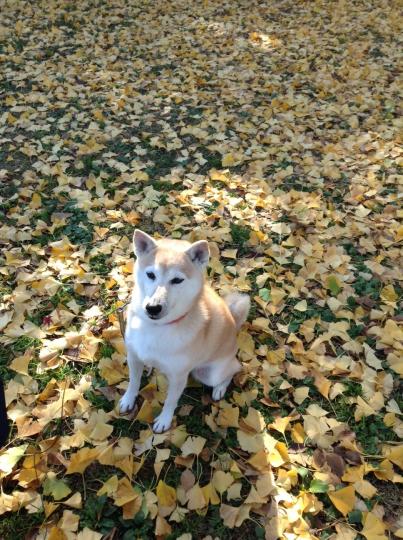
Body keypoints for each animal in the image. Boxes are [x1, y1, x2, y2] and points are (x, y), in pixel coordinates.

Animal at [120, 230, 251, 432]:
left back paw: (220, 388)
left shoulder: (178, 376)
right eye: (150, 274)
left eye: (177, 280)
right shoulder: (134, 357)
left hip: (209, 373)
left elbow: (170, 401)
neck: (157, 327)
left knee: (234, 369)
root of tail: (233, 323)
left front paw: (165, 420)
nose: (153, 308)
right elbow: (133, 382)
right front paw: (128, 399)